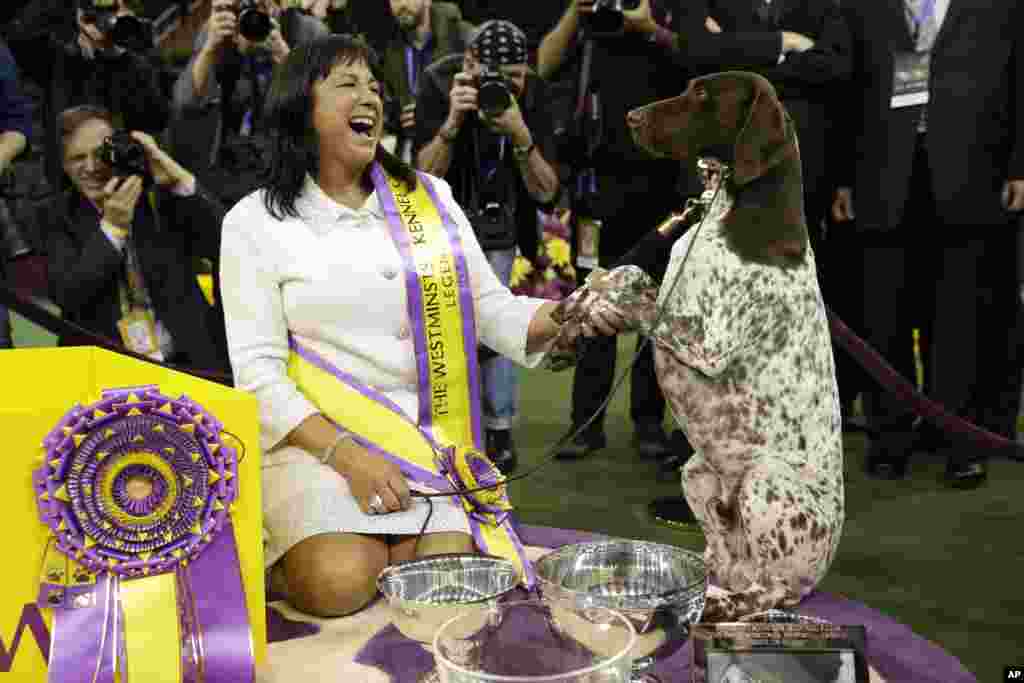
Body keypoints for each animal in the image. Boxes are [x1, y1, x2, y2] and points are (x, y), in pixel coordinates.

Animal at [557, 72, 843, 622]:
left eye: (704, 95)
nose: (631, 117)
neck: (731, 213)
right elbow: (632, 274)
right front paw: (576, 311)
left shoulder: (706, 339)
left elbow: (628, 281)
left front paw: (593, 293)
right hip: (697, 470)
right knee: (724, 561)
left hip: (763, 479)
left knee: (770, 590)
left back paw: (722, 605)